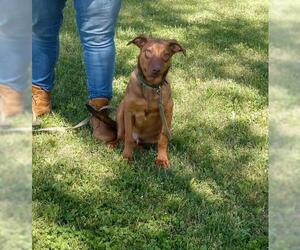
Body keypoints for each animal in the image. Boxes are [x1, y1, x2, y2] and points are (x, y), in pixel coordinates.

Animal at [116, 34, 185, 168]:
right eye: (148, 52)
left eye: (166, 54)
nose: (156, 70)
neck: (151, 86)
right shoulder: (129, 112)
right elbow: (128, 138)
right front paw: (127, 156)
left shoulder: (167, 112)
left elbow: (163, 139)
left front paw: (162, 159)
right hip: (121, 109)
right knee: (123, 137)